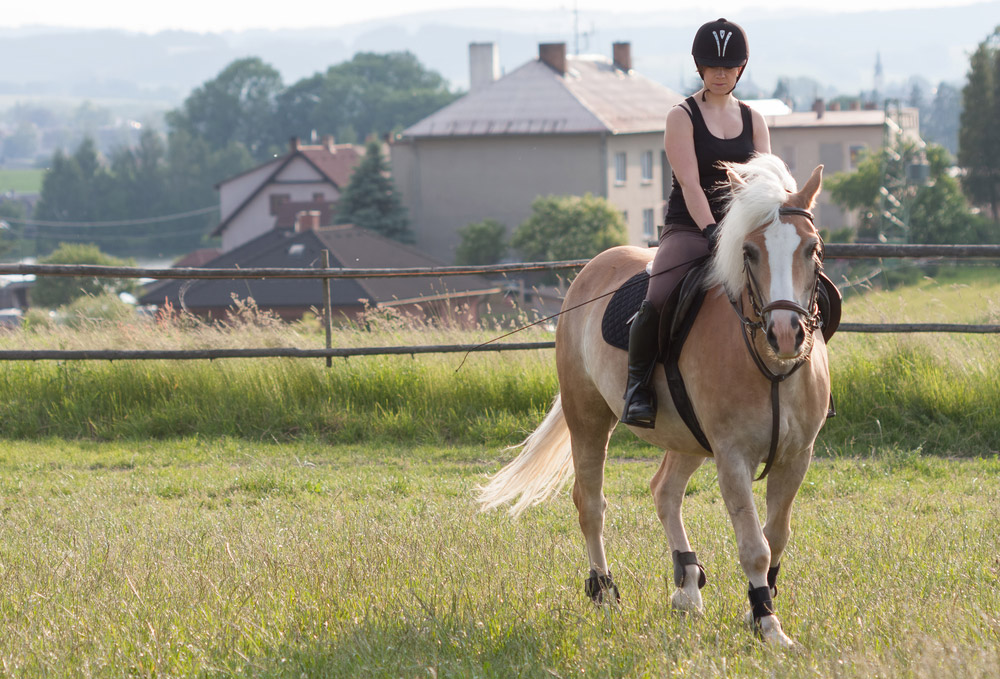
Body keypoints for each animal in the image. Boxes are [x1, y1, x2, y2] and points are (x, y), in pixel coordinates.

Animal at [480, 153, 832, 648]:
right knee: (590, 503)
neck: (769, 366)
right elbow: (754, 547)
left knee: (664, 490)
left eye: (811, 248)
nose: (785, 334)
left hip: (687, 437)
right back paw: (604, 590)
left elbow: (776, 536)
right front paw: (768, 624)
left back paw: (687, 586)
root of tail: (591, 269)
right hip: (588, 417)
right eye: (749, 251)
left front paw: (756, 611)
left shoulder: (796, 456)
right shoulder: (732, 457)